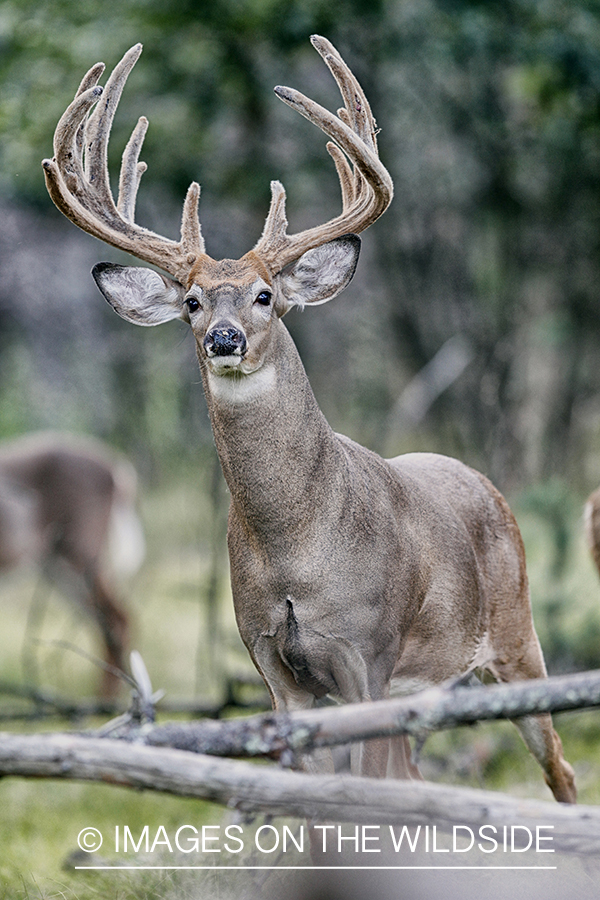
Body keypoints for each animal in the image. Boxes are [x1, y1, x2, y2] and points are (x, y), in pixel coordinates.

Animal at [0, 432, 145, 700]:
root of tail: (119, 471)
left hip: (81, 552)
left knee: (118, 618)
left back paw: (104, 701)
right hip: (55, 564)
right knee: (107, 623)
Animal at [42, 31, 576, 800]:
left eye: (266, 296)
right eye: (192, 301)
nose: (223, 339)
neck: (296, 552)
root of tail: (486, 486)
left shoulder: (367, 654)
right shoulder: (273, 665)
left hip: (516, 635)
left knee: (557, 761)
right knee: (420, 774)